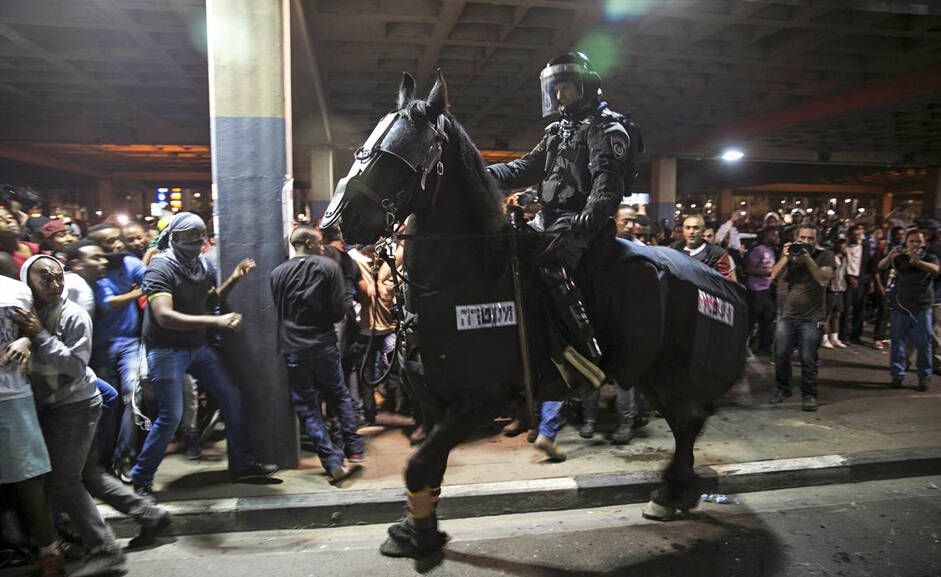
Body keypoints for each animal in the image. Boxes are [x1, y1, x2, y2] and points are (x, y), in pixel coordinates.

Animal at [320, 70, 744, 556]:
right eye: (364, 147)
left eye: (400, 154)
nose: (338, 219)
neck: (467, 277)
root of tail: (720, 277)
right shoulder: (432, 401)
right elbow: (427, 465)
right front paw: (418, 530)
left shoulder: (480, 402)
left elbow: (420, 463)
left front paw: (417, 535)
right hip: (652, 373)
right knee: (685, 422)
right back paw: (673, 491)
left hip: (670, 373)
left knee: (687, 421)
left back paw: (673, 490)